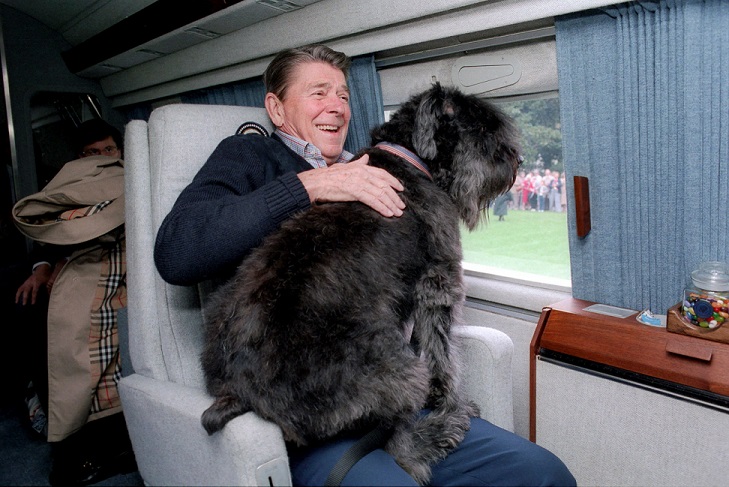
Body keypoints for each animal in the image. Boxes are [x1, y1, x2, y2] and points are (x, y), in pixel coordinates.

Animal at [199, 83, 516, 484]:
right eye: (480, 128)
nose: (516, 160)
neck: (410, 159)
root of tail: (241, 393)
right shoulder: (438, 284)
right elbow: (442, 354)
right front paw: (449, 401)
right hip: (398, 368)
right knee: (400, 447)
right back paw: (445, 426)